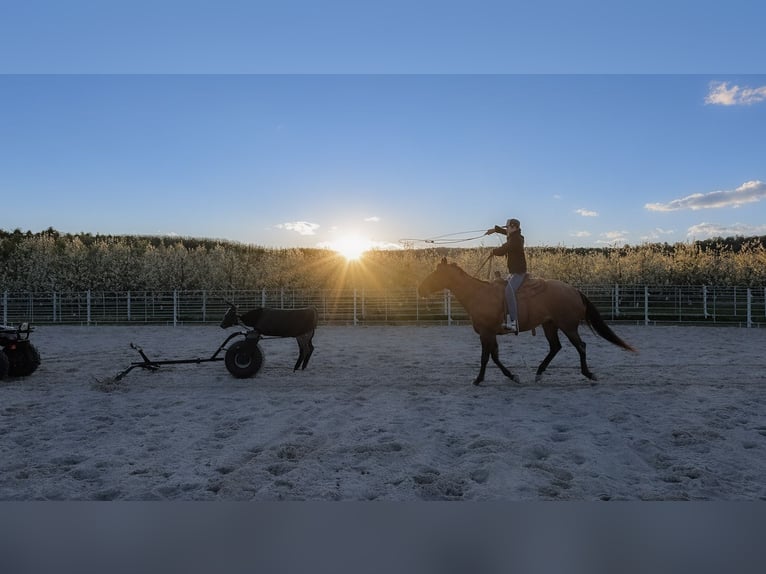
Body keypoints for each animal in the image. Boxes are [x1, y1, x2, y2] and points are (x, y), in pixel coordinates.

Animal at [418, 258, 635, 385]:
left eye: (437, 273)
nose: (420, 289)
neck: (478, 294)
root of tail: (574, 290)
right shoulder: (490, 334)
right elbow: (495, 357)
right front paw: (512, 376)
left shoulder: (486, 333)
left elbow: (486, 357)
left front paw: (478, 379)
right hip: (550, 325)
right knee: (555, 347)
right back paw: (539, 372)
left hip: (568, 326)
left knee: (580, 346)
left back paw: (589, 374)